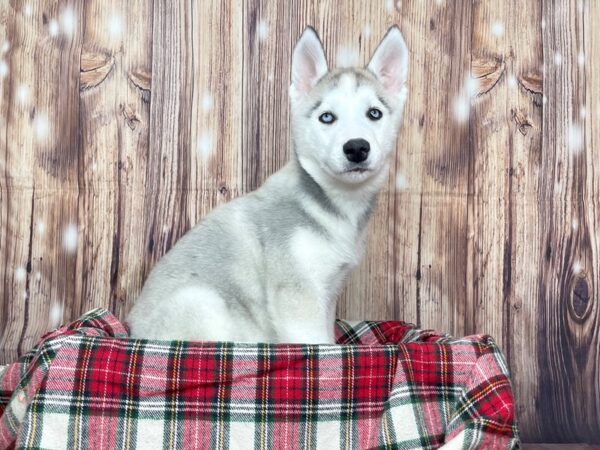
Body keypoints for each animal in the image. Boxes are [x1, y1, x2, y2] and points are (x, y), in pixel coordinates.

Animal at [126, 26, 408, 342]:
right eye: (326, 117)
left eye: (374, 113)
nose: (357, 147)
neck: (334, 203)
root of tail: (131, 330)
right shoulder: (298, 295)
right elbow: (318, 347)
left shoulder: (327, 294)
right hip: (201, 302)